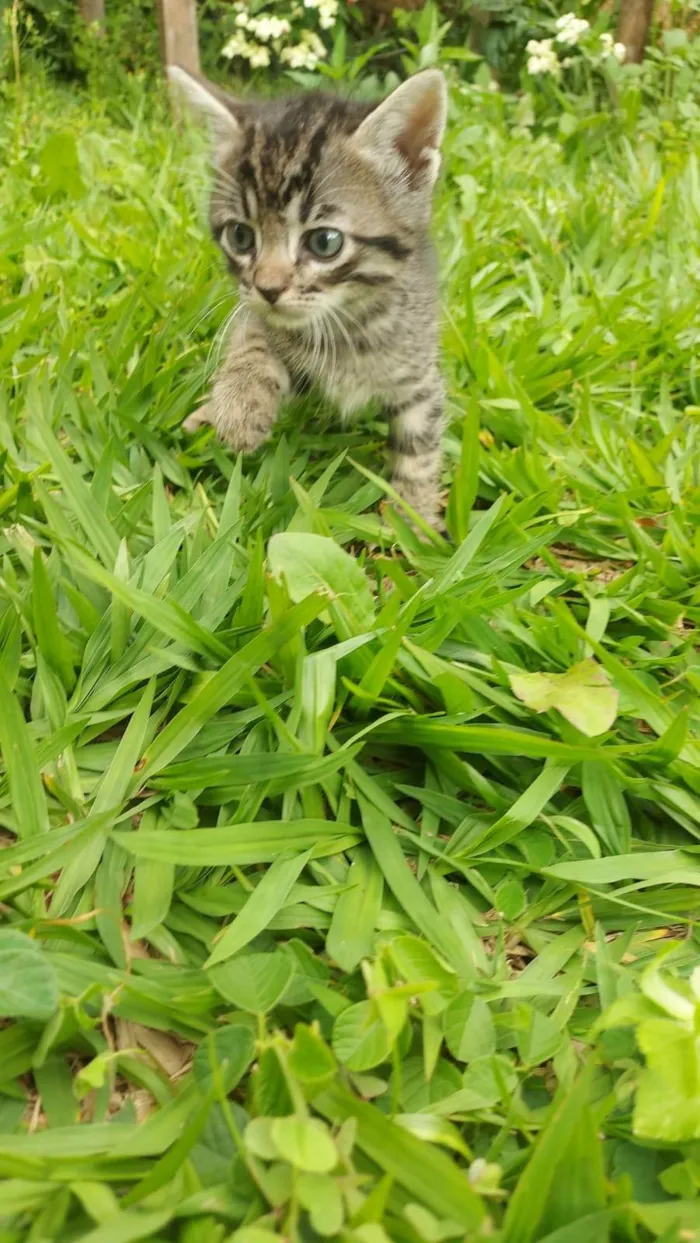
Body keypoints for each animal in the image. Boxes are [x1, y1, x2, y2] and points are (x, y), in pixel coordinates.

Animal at [172, 68, 452, 524]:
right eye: (240, 236)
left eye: (324, 242)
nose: (269, 288)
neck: (351, 320)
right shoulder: (258, 315)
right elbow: (252, 335)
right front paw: (240, 402)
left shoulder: (420, 376)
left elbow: (420, 450)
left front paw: (413, 519)